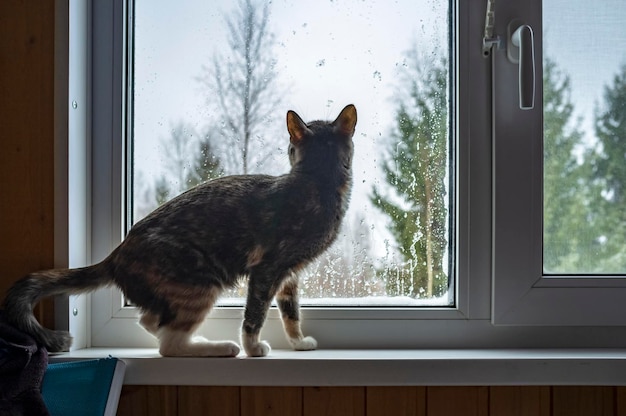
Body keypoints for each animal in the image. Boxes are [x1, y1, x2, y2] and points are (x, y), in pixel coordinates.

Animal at [1, 104, 356, 358]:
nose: (288, 149)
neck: (319, 183)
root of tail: (117, 253)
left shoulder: (289, 275)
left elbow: (290, 313)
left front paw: (298, 342)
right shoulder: (267, 269)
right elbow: (255, 313)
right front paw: (254, 348)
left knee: (152, 322)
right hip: (200, 283)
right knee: (168, 344)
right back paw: (221, 348)